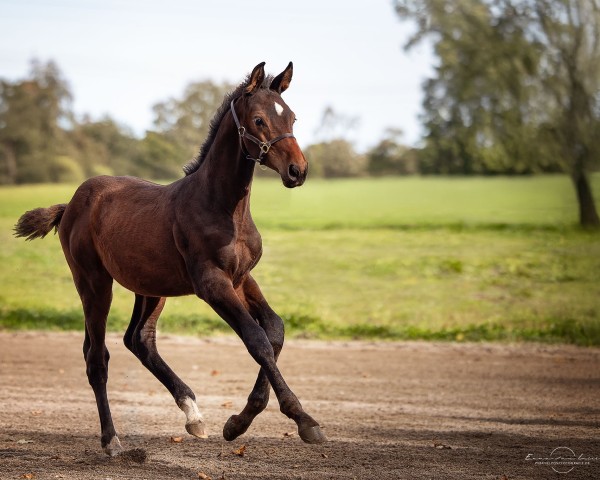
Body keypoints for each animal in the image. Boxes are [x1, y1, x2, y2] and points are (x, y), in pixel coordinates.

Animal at [14, 62, 326, 456]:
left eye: (292, 117)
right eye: (258, 119)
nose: (297, 171)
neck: (223, 206)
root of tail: (70, 204)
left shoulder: (241, 278)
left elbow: (274, 330)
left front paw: (238, 422)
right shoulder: (211, 283)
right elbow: (255, 339)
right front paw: (303, 420)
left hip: (150, 287)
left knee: (138, 339)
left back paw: (193, 413)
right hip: (93, 283)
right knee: (96, 357)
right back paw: (112, 441)